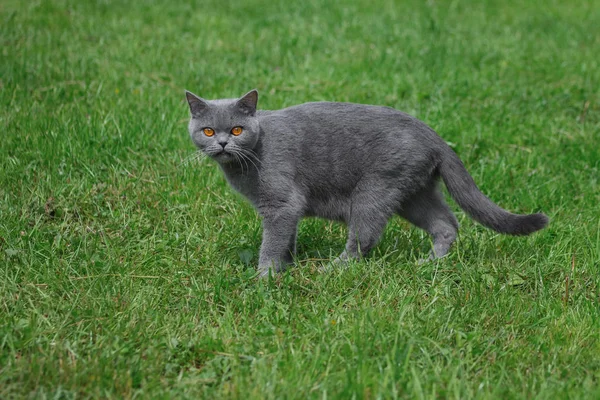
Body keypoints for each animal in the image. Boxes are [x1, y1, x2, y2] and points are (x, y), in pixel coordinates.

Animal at [184, 90, 548, 278]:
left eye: (236, 129)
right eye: (207, 131)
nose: (222, 144)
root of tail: (434, 136)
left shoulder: (282, 204)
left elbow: (272, 243)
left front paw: (265, 278)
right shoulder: (286, 211)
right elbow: (287, 239)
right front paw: (286, 267)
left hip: (374, 191)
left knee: (364, 240)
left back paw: (331, 270)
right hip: (413, 193)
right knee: (447, 223)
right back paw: (430, 263)